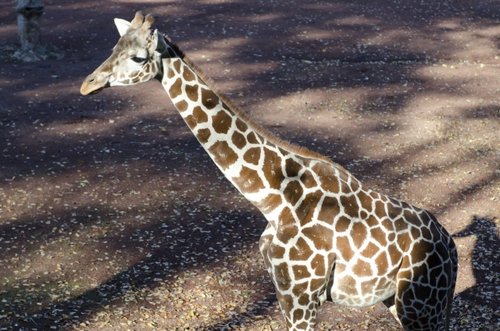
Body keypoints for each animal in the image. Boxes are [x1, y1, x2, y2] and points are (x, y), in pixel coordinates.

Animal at [81, 11, 458, 330]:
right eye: (113, 47)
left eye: (137, 57)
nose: (87, 84)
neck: (273, 197)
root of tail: (451, 247)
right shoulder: (283, 291)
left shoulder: (303, 295)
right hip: (403, 303)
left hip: (420, 303)